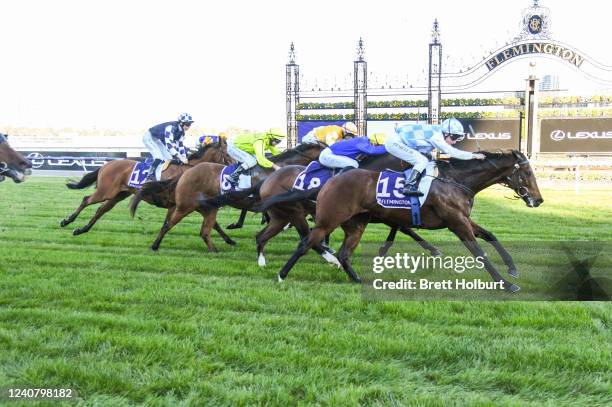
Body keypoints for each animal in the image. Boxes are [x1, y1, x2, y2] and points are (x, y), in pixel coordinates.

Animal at [59, 141, 232, 234]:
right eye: (228, 155)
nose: (234, 167)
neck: (189, 171)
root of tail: (107, 164)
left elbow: (212, 223)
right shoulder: (178, 204)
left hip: (118, 194)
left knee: (101, 210)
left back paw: (81, 230)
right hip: (105, 191)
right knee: (86, 200)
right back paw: (67, 221)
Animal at [130, 143, 328, 252]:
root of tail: (186, 173)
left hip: (205, 207)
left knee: (204, 228)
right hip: (185, 205)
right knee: (169, 224)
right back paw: (156, 245)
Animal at [252, 153, 440, 268]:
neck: (371, 178)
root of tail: (268, 179)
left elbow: (402, 228)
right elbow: (405, 229)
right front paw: (434, 250)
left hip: (282, 216)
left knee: (262, 236)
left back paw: (262, 261)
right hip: (296, 214)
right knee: (307, 237)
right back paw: (332, 259)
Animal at [274, 151, 544, 294]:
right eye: (527, 173)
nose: (539, 200)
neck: (456, 181)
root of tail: (331, 180)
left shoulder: (463, 218)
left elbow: (490, 236)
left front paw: (512, 268)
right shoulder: (456, 222)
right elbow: (479, 252)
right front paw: (506, 284)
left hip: (356, 224)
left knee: (344, 253)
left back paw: (358, 280)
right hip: (329, 219)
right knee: (306, 243)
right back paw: (282, 275)